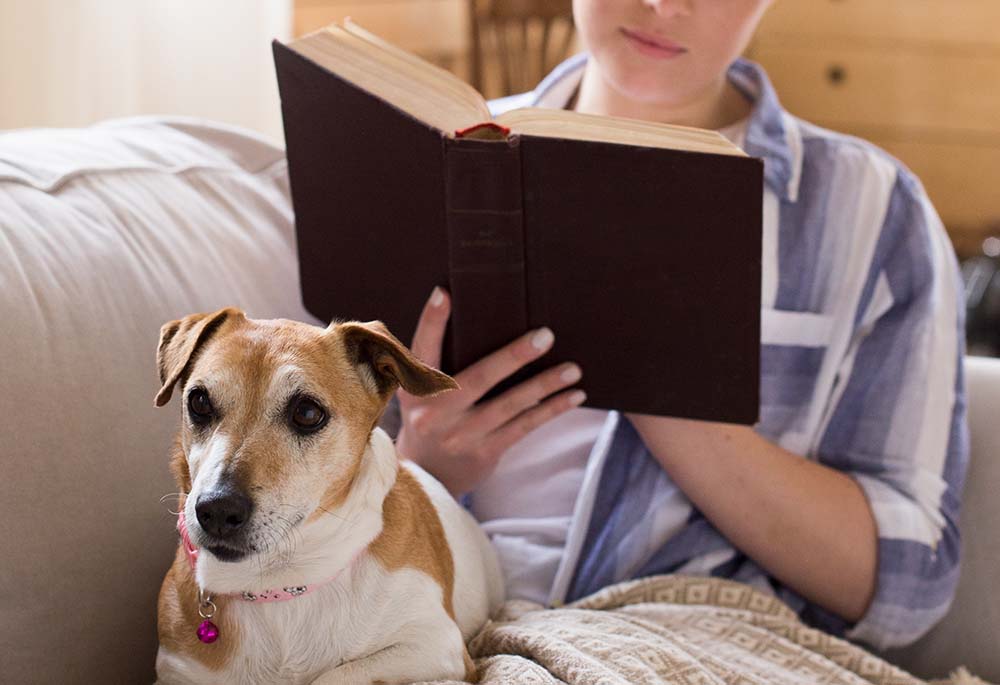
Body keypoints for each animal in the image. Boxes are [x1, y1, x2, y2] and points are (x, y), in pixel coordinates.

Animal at [155, 308, 504, 684]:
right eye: (199, 401)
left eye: (307, 412)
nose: (217, 509)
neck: (277, 582)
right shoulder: (177, 671)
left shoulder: (434, 644)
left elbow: (334, 675)